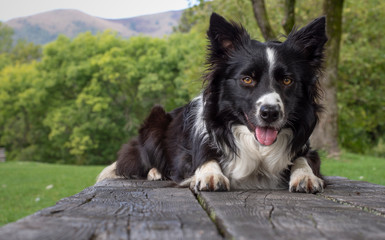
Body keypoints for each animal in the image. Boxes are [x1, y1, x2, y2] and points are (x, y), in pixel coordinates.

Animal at [97, 12, 328, 193]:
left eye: (287, 80)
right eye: (247, 79)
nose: (270, 113)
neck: (257, 147)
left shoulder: (307, 149)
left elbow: (303, 160)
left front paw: (306, 176)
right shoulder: (190, 153)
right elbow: (205, 157)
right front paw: (210, 174)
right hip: (155, 120)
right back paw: (155, 172)